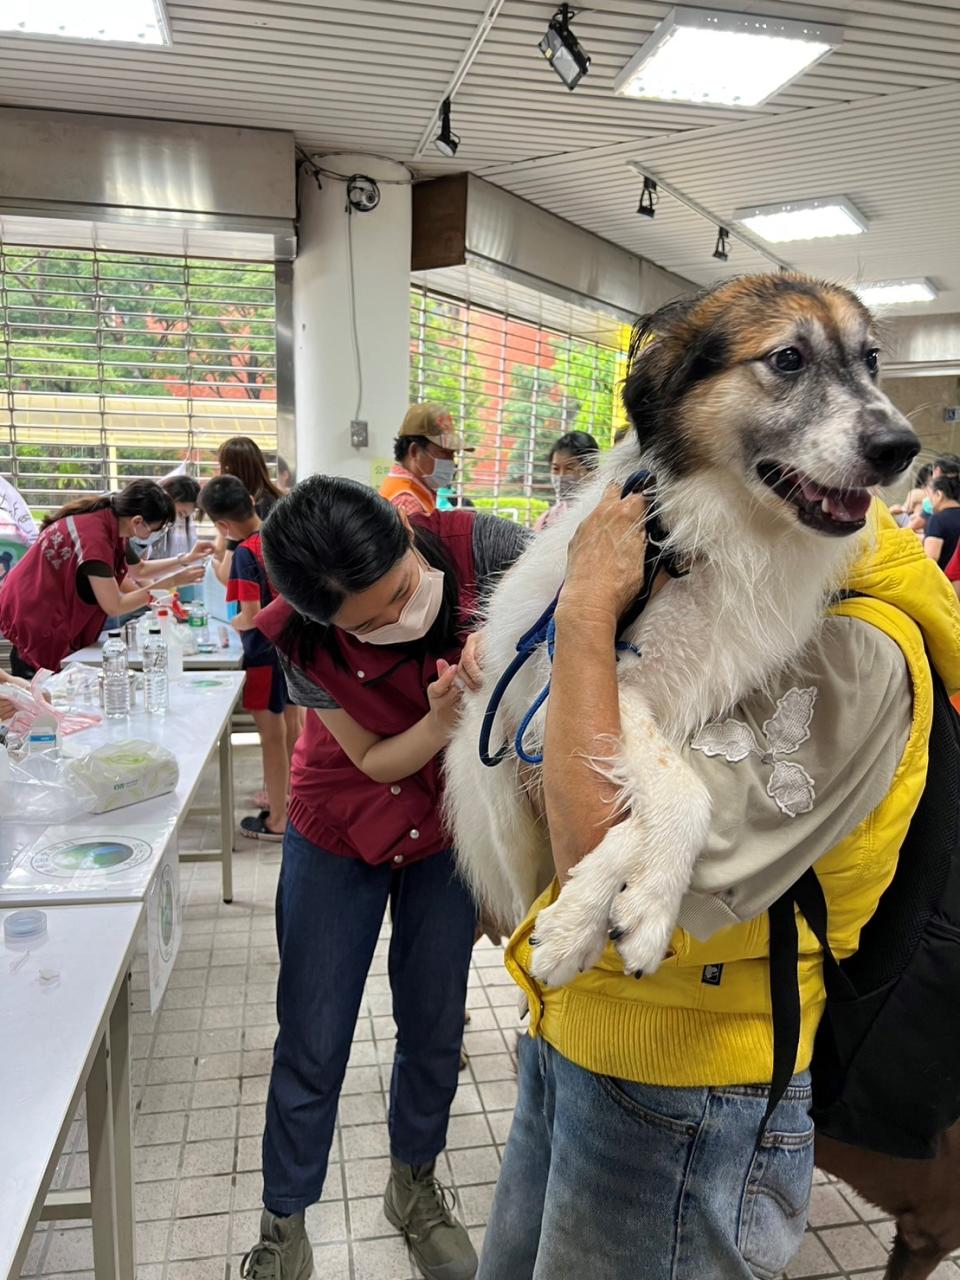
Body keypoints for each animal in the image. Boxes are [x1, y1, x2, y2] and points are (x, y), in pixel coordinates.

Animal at [448, 272, 921, 988]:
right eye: (787, 358)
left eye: (871, 360)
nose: (901, 448)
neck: (731, 537)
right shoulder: (599, 687)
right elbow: (685, 788)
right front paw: (606, 916)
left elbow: (647, 810)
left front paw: (611, 907)